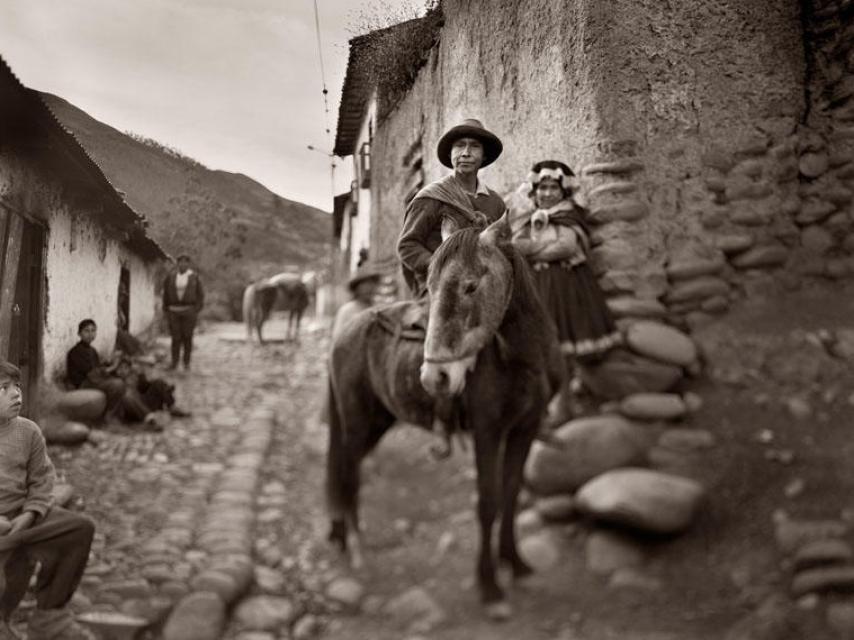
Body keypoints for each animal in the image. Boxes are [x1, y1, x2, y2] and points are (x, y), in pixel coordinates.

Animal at [324, 216, 564, 620]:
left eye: (470, 285)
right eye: (430, 287)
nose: (435, 378)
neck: (522, 358)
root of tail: (343, 333)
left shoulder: (525, 429)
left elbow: (512, 492)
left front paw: (515, 563)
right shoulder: (487, 432)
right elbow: (488, 501)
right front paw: (489, 585)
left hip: (377, 423)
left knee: (343, 469)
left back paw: (340, 535)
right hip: (356, 422)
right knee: (349, 473)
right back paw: (356, 548)